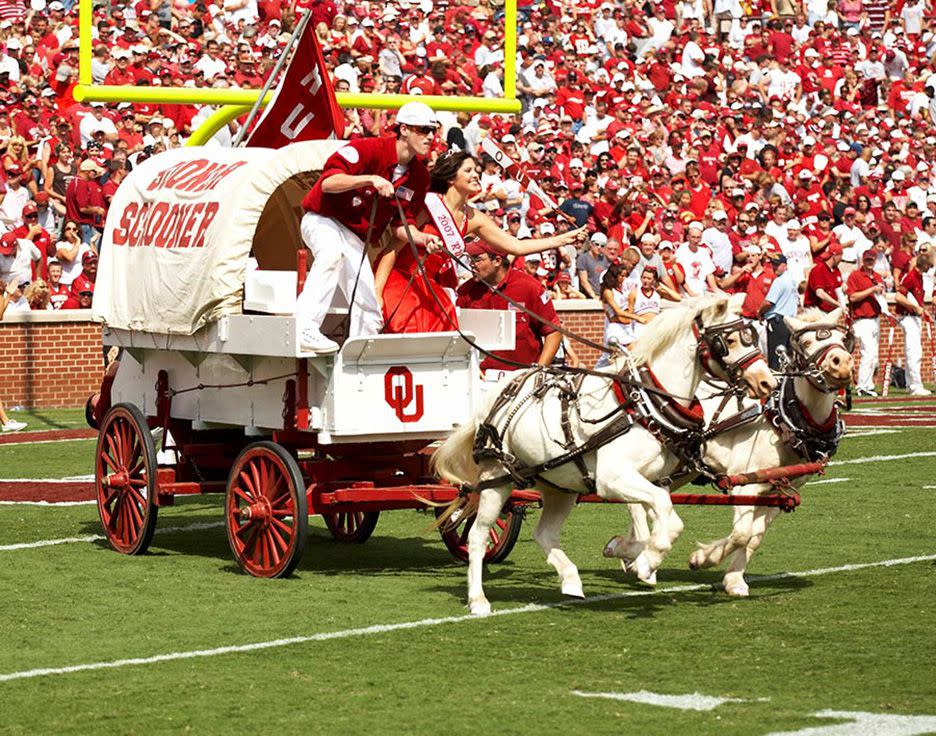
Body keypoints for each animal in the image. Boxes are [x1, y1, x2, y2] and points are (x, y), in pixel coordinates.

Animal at [432, 294, 776, 616]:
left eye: (751, 335)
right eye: (730, 340)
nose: (767, 382)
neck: (644, 403)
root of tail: (500, 391)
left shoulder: (654, 480)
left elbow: (660, 518)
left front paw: (630, 552)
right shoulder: (614, 479)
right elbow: (665, 516)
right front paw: (645, 561)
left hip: (559, 486)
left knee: (544, 534)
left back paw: (571, 580)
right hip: (497, 479)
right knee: (477, 537)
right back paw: (478, 599)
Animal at [608, 310, 856, 600]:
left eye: (842, 338)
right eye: (806, 343)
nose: (842, 363)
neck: (784, 418)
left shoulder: (780, 489)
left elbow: (755, 536)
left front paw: (734, 579)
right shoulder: (744, 484)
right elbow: (741, 533)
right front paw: (702, 558)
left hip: (676, 469)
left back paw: (633, 552)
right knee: (634, 501)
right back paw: (632, 550)